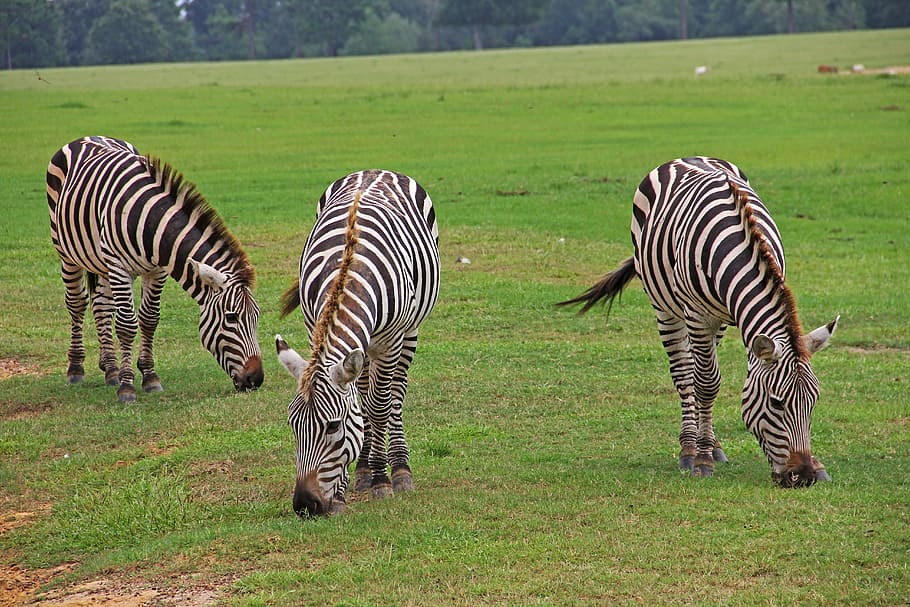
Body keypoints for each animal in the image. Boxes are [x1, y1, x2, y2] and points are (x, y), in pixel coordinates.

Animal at [46, 136, 263, 403]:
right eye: (231, 318)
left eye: (256, 317)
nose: (256, 379)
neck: (150, 223)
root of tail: (89, 137)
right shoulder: (120, 267)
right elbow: (127, 325)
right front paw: (127, 388)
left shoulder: (157, 270)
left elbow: (150, 319)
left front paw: (149, 377)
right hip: (67, 252)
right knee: (77, 303)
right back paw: (76, 369)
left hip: (101, 262)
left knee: (102, 306)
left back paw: (110, 369)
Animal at [276, 169, 439, 516]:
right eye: (292, 425)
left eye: (333, 427)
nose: (305, 506)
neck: (348, 271)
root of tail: (378, 170)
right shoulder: (314, 329)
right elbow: (361, 406)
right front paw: (344, 489)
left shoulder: (390, 341)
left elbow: (378, 408)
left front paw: (381, 481)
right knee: (363, 391)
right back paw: (362, 469)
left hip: (410, 332)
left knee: (396, 395)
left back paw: (399, 468)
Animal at [559, 157, 838, 487]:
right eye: (776, 403)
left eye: (813, 401)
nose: (803, 476)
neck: (738, 250)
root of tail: (686, 158)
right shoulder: (697, 314)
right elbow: (705, 383)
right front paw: (701, 459)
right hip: (666, 308)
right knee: (684, 374)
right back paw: (689, 447)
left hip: (716, 322)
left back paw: (713, 443)